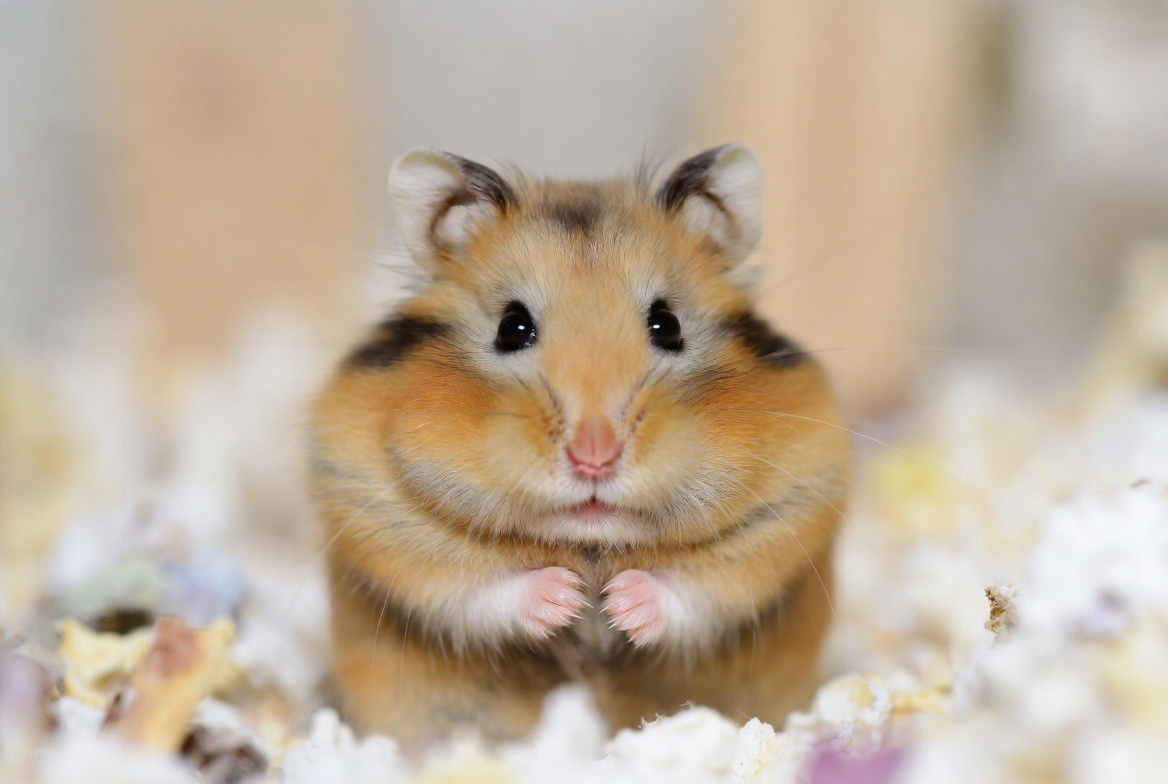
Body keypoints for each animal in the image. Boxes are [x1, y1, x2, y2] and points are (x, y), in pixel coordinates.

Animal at [309, 143, 852, 746]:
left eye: (668, 324)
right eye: (511, 326)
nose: (595, 457)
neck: (592, 544)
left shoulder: (784, 520)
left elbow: (695, 588)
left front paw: (616, 606)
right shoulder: (387, 528)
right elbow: (482, 589)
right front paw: (568, 599)